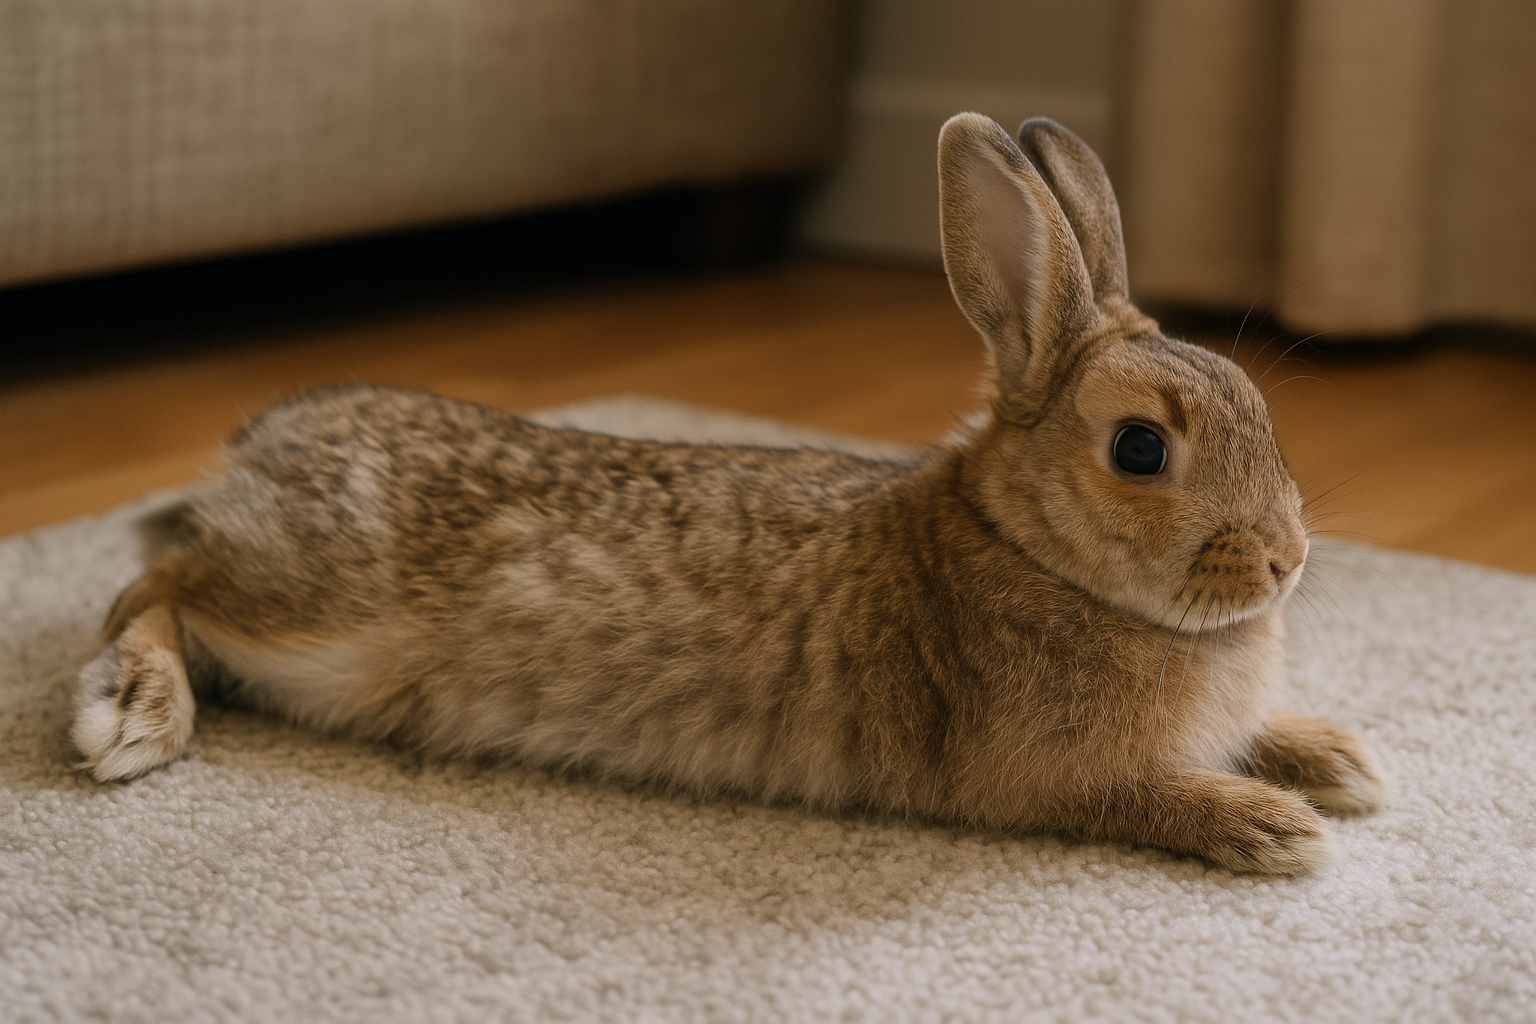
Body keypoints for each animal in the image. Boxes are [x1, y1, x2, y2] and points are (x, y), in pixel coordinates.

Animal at [71, 113, 1384, 874]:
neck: (1025, 545)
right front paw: (1276, 828)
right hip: (318, 621)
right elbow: (1144, 793)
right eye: (1140, 451)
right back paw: (133, 711)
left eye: (1259, 411)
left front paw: (1339, 760)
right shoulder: (1045, 776)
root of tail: (269, 436)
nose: (1286, 559)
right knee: (156, 578)